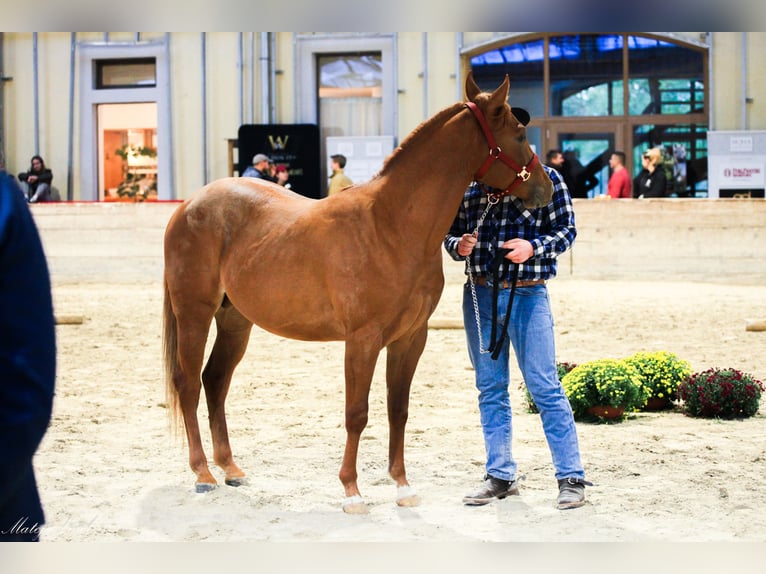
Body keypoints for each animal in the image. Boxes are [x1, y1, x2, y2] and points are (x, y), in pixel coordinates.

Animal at [162, 70, 552, 516]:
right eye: (520, 134)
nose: (546, 189)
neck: (392, 225)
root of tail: (188, 205)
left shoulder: (410, 338)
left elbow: (398, 410)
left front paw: (402, 486)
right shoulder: (362, 339)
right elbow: (357, 413)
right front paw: (352, 491)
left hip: (235, 321)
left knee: (215, 381)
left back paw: (230, 468)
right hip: (194, 313)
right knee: (188, 383)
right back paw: (202, 474)